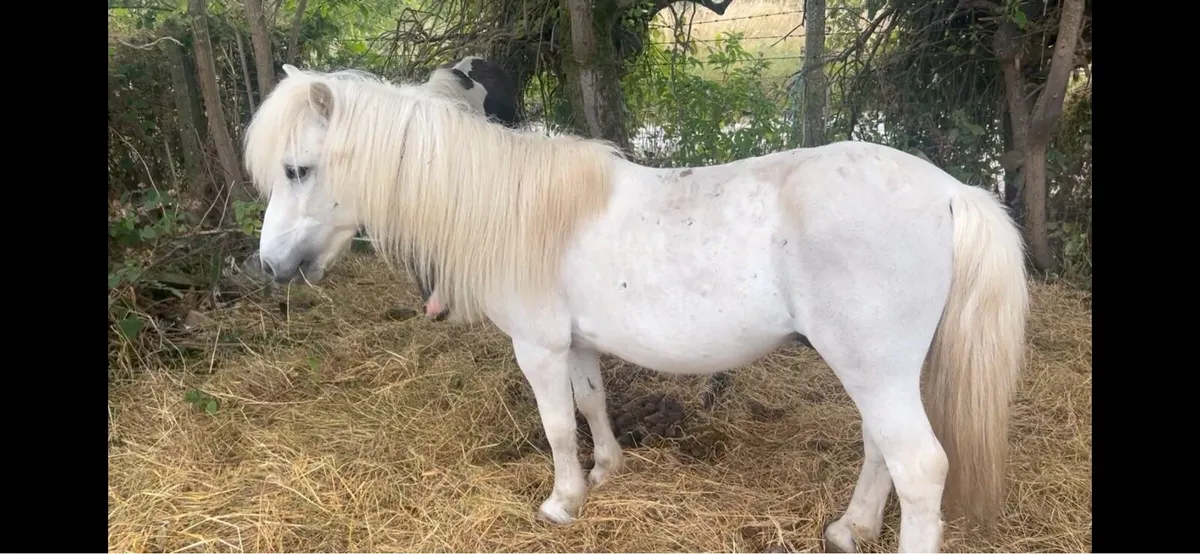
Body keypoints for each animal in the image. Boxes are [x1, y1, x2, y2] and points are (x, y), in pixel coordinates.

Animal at [245, 65, 1029, 553]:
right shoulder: (578, 343)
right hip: (877, 372)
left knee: (920, 467)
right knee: (880, 449)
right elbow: (592, 405)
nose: (272, 266)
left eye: (298, 170)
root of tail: (950, 190)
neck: (521, 211)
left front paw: (563, 502)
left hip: (873, 369)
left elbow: (558, 426)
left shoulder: (538, 347)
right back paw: (850, 529)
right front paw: (606, 473)